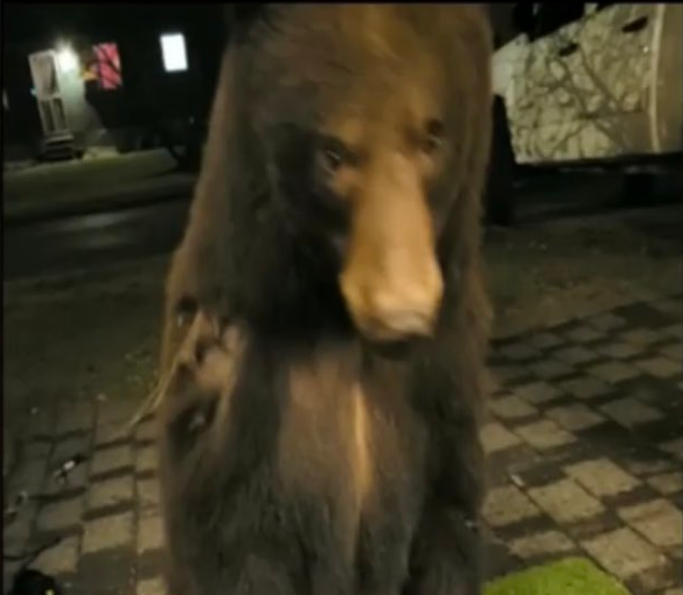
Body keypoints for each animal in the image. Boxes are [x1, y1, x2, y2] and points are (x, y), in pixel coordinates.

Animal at [156, 4, 492, 595]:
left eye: (432, 139)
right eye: (332, 154)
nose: (400, 314)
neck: (337, 325)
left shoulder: (446, 375)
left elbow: (449, 515)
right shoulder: (234, 394)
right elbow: (230, 544)